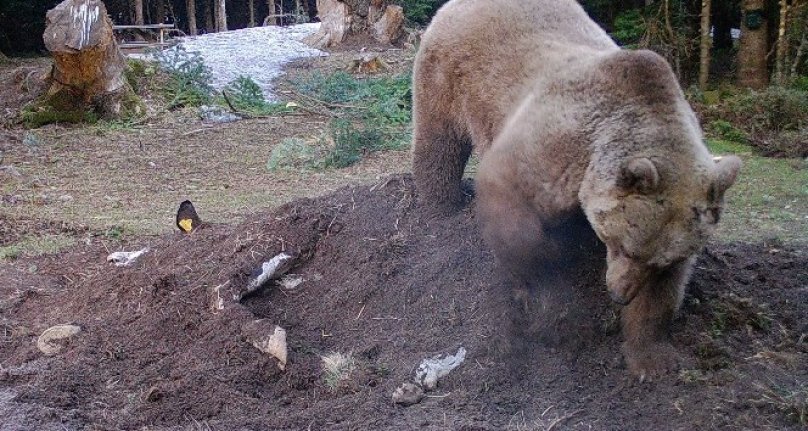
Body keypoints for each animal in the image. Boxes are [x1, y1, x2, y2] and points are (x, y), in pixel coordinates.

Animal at [414, 0, 740, 380]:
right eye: (622, 246)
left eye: (655, 260)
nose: (619, 294)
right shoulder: (560, 145)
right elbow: (513, 203)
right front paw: (548, 287)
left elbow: (664, 294)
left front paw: (652, 358)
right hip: (449, 74)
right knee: (439, 142)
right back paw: (441, 204)